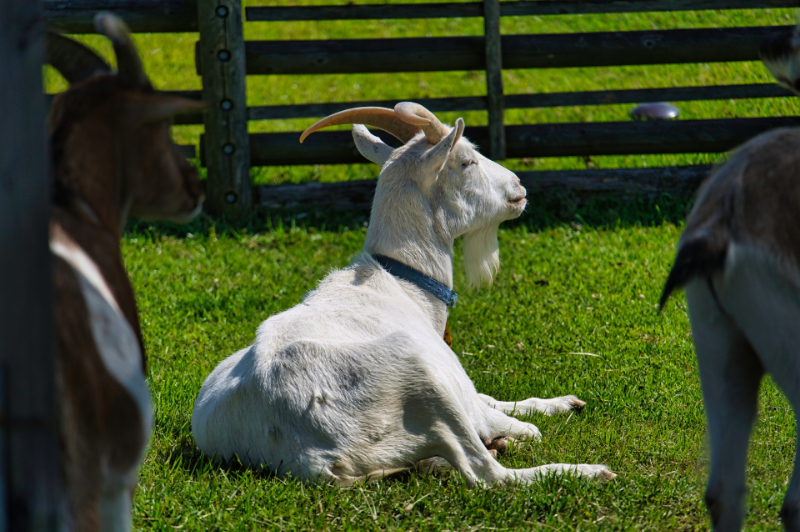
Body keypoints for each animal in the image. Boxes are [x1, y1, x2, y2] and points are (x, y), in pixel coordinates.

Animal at [192, 103, 612, 486]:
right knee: (487, 473)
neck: (404, 285)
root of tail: (307, 452)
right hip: (418, 374)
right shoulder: (455, 385)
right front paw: (528, 428)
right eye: (466, 161)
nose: (519, 188)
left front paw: (562, 403)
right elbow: (502, 417)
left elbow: (492, 398)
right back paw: (585, 471)